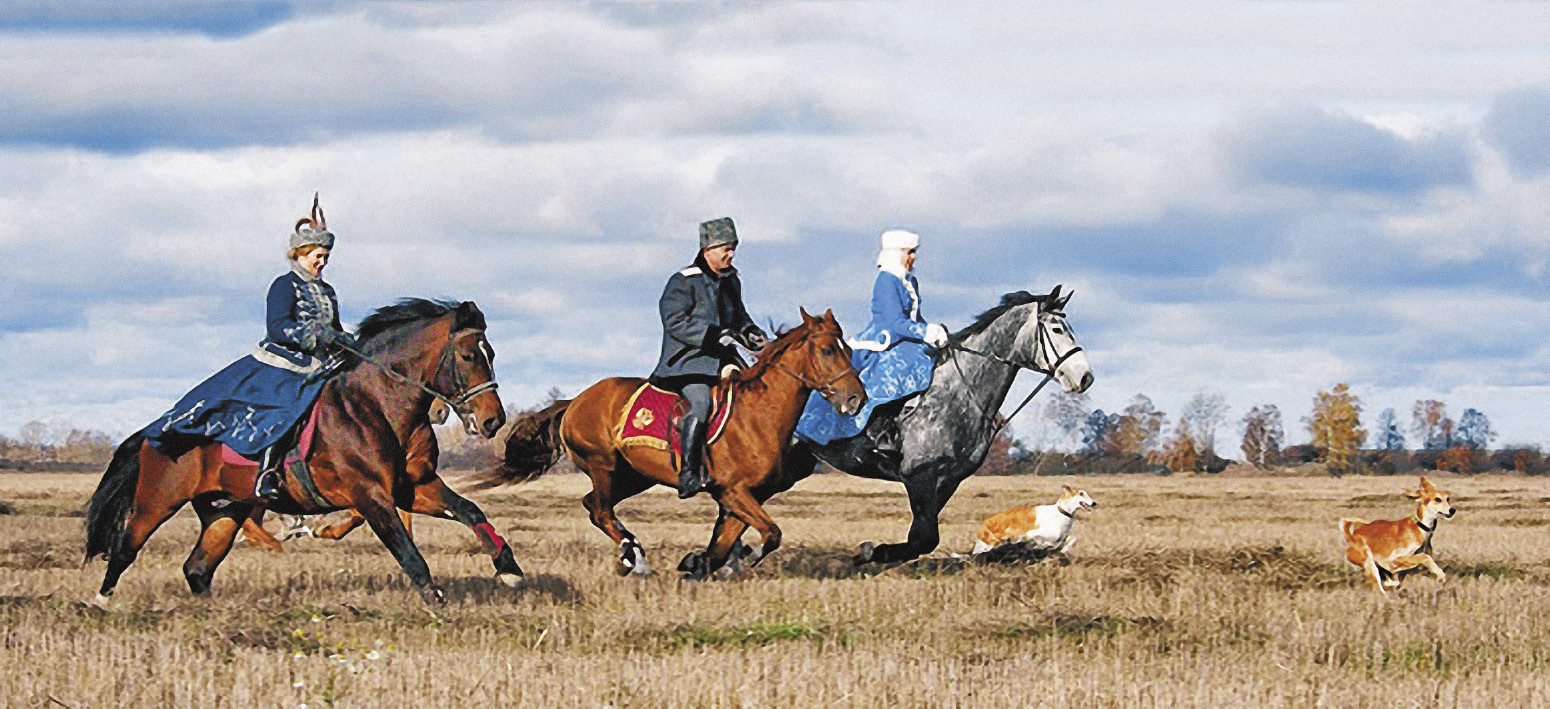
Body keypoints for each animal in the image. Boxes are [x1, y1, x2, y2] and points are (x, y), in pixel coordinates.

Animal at [86, 297, 520, 601]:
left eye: (492, 354)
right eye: (469, 355)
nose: (493, 420)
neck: (376, 404)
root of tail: (154, 430)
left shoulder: (413, 488)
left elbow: (470, 510)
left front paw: (509, 568)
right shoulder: (371, 495)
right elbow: (404, 548)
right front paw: (433, 597)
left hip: (225, 510)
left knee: (198, 568)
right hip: (158, 500)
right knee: (125, 549)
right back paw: (99, 603)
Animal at [489, 307, 868, 577]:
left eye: (848, 349)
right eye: (827, 350)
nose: (856, 399)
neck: (759, 414)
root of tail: (575, 401)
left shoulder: (742, 497)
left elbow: (723, 545)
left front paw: (700, 565)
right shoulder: (733, 491)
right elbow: (770, 534)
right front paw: (738, 561)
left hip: (634, 475)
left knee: (592, 505)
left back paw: (631, 555)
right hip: (603, 466)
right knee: (600, 509)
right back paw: (636, 558)